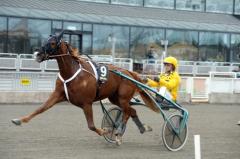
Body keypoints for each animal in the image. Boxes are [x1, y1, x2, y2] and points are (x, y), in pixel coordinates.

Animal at [11, 33, 158, 145]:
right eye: (46, 41)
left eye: (52, 43)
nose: (37, 54)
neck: (72, 73)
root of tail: (129, 73)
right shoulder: (58, 95)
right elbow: (40, 109)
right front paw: (19, 120)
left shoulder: (87, 103)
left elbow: (91, 125)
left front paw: (105, 131)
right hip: (115, 98)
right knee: (132, 110)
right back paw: (141, 128)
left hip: (123, 98)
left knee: (127, 112)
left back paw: (118, 132)